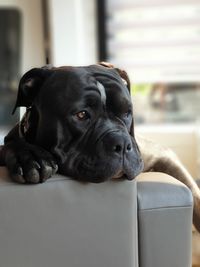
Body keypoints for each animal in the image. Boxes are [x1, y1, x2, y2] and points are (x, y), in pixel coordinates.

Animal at [0, 62, 200, 232]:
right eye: (81, 114)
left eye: (127, 112)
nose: (122, 143)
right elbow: (8, 146)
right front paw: (30, 156)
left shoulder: (163, 156)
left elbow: (194, 192)